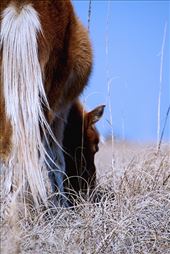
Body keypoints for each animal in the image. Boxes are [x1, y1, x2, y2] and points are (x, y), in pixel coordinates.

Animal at [0, 0, 92, 206]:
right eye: (95, 145)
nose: (90, 185)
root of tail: (20, 4)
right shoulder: (60, 113)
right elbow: (55, 161)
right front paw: (61, 205)